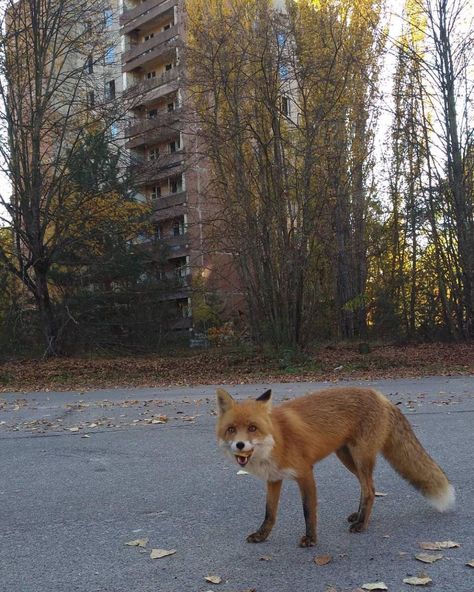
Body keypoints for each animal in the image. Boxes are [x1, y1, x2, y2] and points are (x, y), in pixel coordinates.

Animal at [216, 388, 456, 544]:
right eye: (231, 429)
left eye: (252, 428)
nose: (239, 445)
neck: (278, 439)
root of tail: (380, 395)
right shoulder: (274, 479)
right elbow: (269, 513)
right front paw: (262, 535)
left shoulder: (305, 474)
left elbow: (308, 511)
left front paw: (311, 539)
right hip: (347, 458)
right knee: (367, 488)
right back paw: (358, 516)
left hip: (360, 457)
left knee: (370, 490)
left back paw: (361, 524)